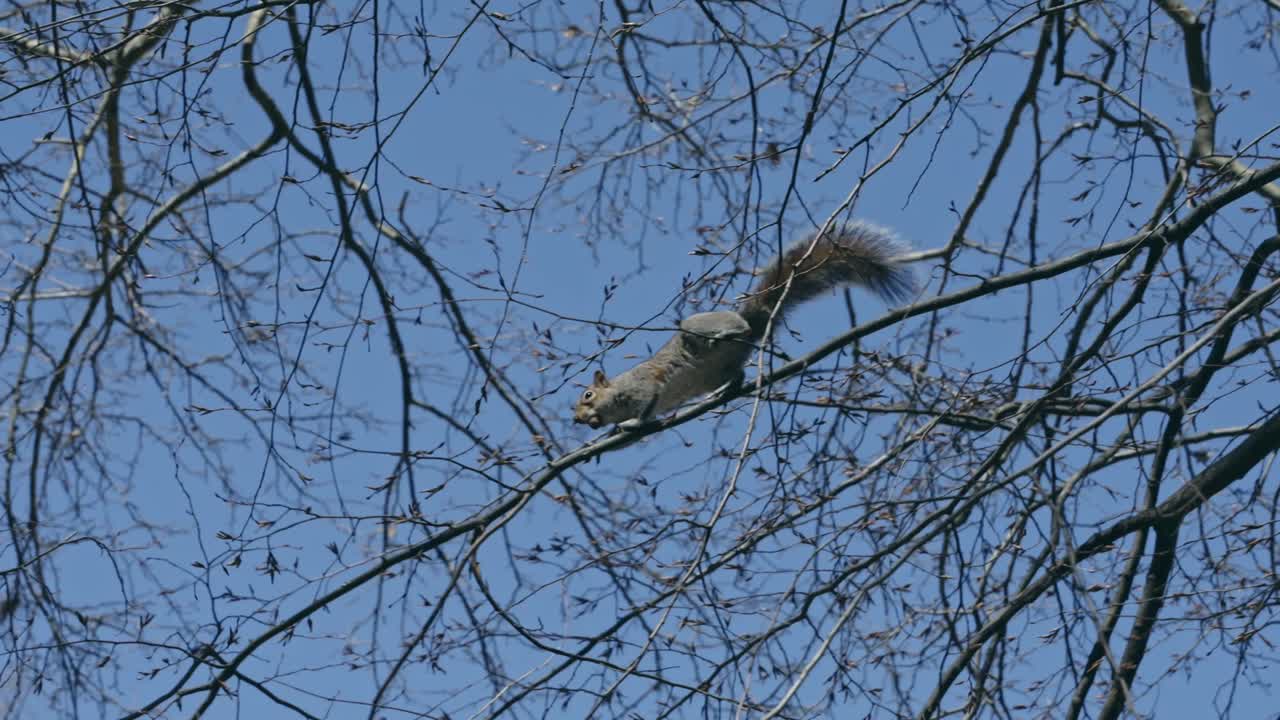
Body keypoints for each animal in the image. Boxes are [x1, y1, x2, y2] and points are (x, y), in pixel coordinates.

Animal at [573, 222, 914, 429]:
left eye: (587, 395)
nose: (577, 420)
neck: (616, 396)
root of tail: (752, 317)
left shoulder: (642, 386)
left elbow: (645, 407)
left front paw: (632, 423)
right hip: (716, 374)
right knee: (738, 374)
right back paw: (725, 390)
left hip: (696, 327)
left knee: (741, 332)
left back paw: (728, 334)